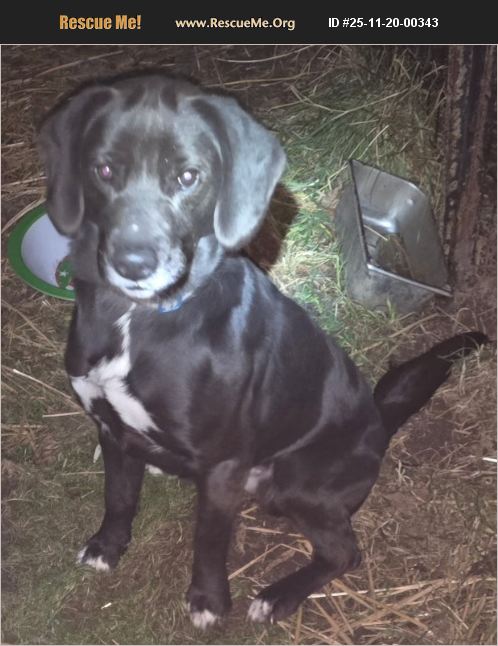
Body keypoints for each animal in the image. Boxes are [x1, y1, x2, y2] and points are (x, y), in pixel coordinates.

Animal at [38, 73, 487, 628]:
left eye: (188, 176)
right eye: (104, 169)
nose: (134, 263)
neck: (134, 319)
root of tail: (380, 422)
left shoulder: (223, 466)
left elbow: (208, 540)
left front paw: (208, 601)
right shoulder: (109, 426)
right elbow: (118, 497)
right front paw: (107, 547)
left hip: (294, 483)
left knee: (344, 553)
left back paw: (279, 596)